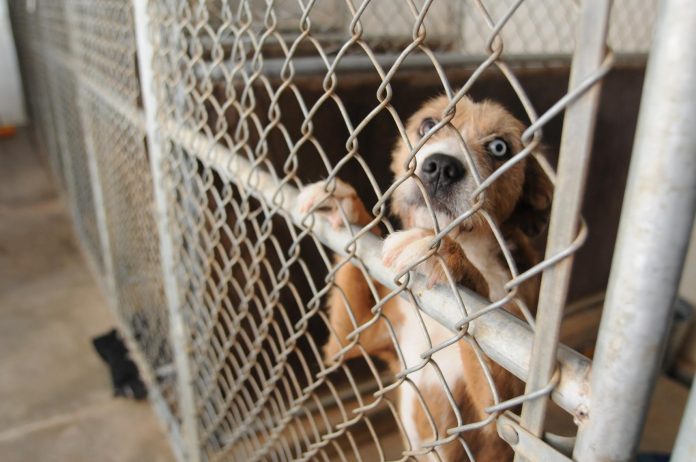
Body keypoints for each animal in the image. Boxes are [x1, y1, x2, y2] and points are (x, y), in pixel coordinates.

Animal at [296, 95, 552, 460]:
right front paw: (343, 204)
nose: (441, 167)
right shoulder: (349, 339)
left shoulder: (500, 415)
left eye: (500, 147)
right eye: (428, 125)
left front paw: (444, 254)